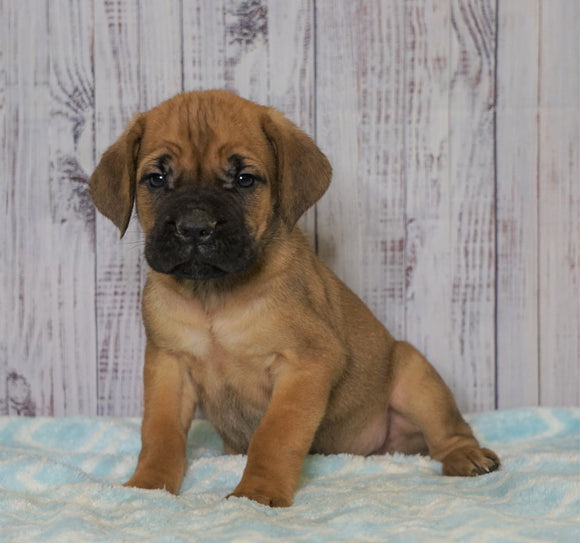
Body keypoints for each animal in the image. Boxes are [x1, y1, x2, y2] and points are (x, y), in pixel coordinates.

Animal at [89, 90, 498, 510]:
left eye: (244, 179)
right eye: (156, 179)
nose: (195, 228)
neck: (214, 296)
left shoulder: (307, 362)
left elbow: (275, 433)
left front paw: (257, 492)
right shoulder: (169, 366)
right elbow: (160, 433)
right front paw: (148, 486)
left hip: (415, 373)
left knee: (449, 429)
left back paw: (467, 457)